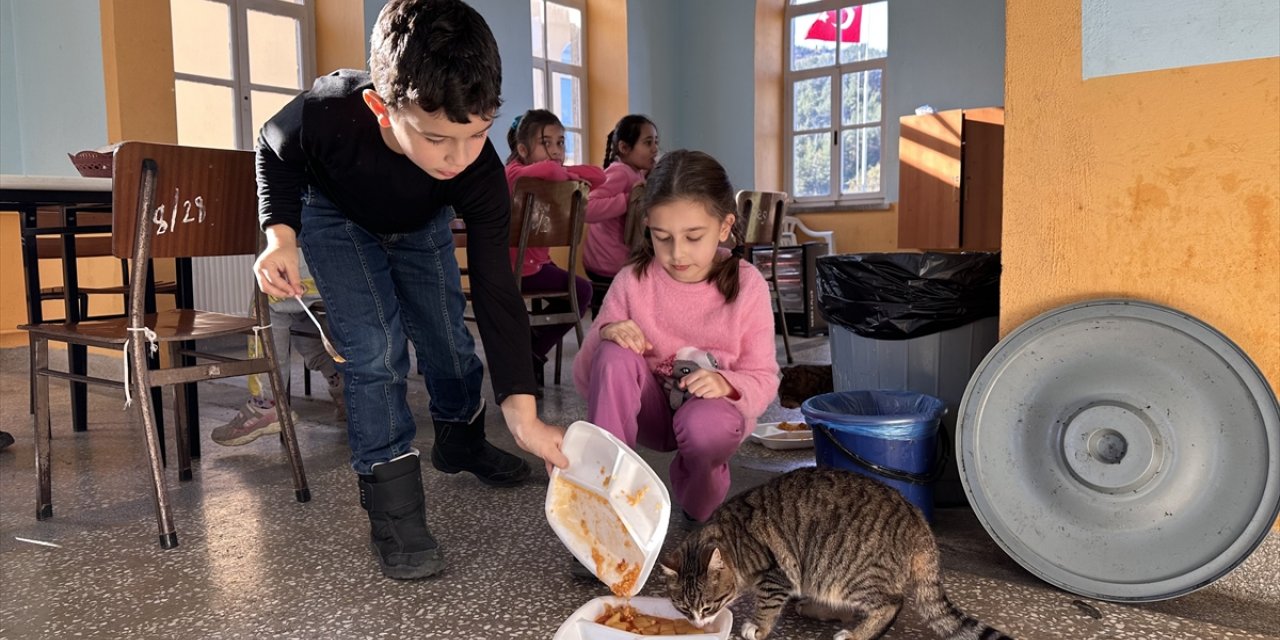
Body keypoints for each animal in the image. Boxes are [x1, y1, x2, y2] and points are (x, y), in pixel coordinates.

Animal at [660, 465, 1008, 640]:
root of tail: (917, 518)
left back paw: (856, 635)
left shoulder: (776, 574)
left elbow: (768, 605)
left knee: (890, 604)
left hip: (847, 570)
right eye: (683, 608)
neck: (732, 538)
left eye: (708, 607)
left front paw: (758, 626)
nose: (698, 624)